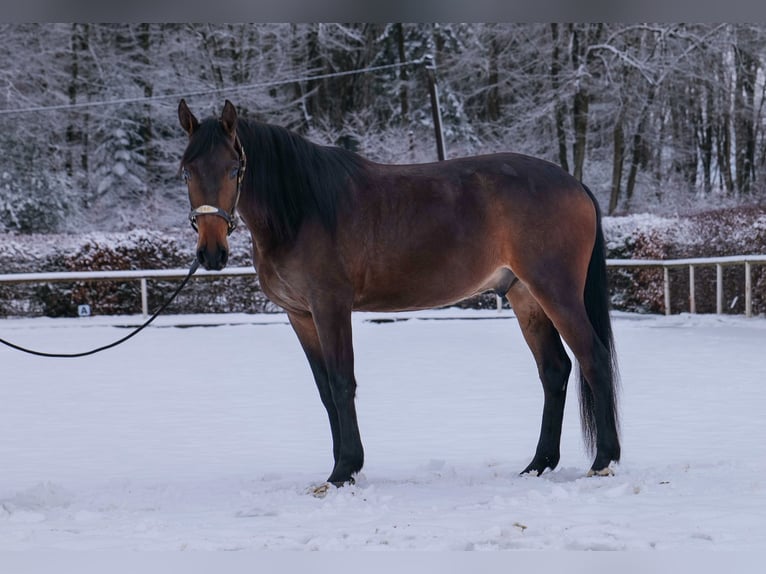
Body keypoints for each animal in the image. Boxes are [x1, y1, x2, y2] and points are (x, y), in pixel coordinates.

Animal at [177, 101, 620, 488]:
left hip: (556, 291)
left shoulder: (330, 307)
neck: (302, 208)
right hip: (525, 296)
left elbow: (342, 381)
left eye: (234, 168)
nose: (211, 254)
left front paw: (345, 469)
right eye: (186, 171)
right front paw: (342, 466)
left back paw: (604, 461)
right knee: (554, 369)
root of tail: (574, 184)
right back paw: (538, 464)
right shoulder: (299, 315)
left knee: (593, 358)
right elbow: (325, 390)